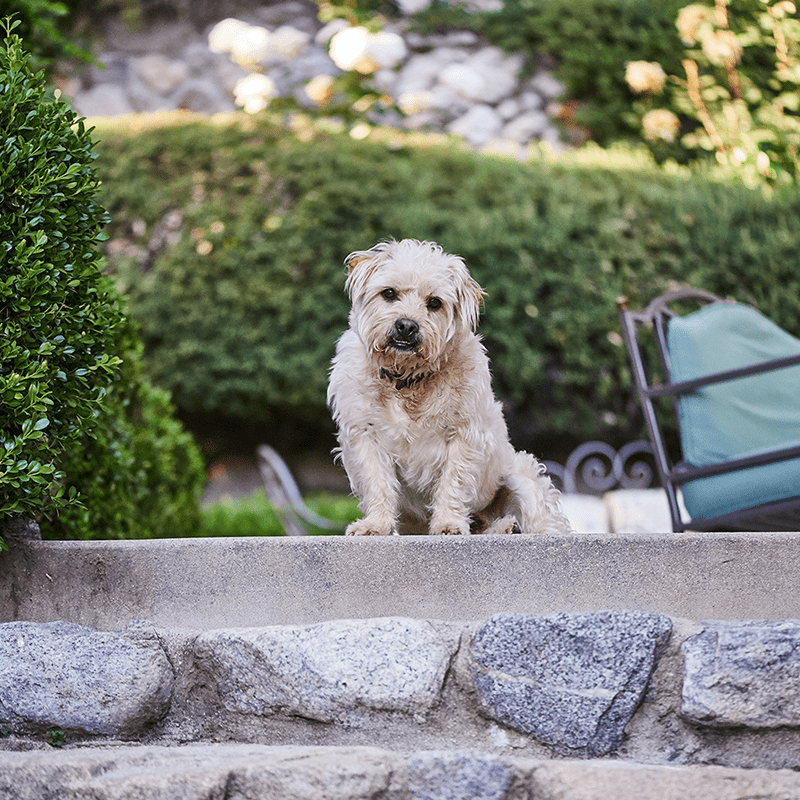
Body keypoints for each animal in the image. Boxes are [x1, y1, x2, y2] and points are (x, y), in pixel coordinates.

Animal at [328, 239, 572, 536]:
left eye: (435, 302)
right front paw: (375, 525)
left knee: (540, 519)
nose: (406, 326)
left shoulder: (464, 436)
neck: (407, 380)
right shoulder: (365, 436)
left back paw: (508, 527)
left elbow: (453, 483)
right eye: (389, 293)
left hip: (521, 475)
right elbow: (378, 484)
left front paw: (448, 524)